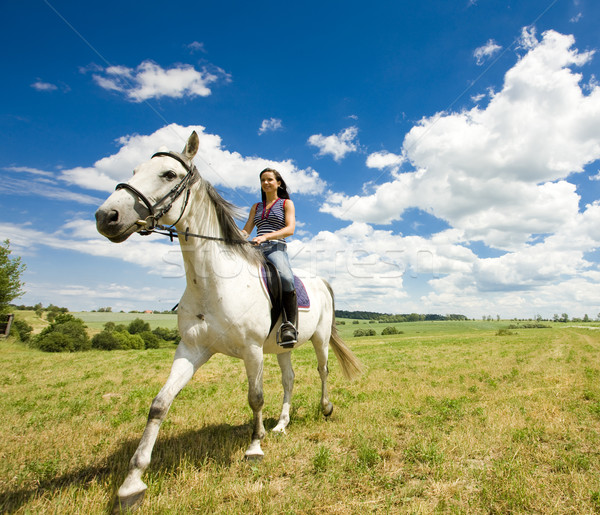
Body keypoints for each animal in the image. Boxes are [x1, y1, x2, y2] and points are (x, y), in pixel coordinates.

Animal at [96, 133, 364, 512]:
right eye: (134, 170)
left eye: (167, 174)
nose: (106, 216)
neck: (211, 281)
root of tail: (320, 281)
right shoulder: (191, 350)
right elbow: (159, 404)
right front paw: (132, 484)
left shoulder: (252, 350)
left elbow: (255, 397)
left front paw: (254, 447)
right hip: (283, 346)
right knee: (289, 379)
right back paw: (282, 425)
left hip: (319, 339)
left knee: (322, 371)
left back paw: (324, 408)